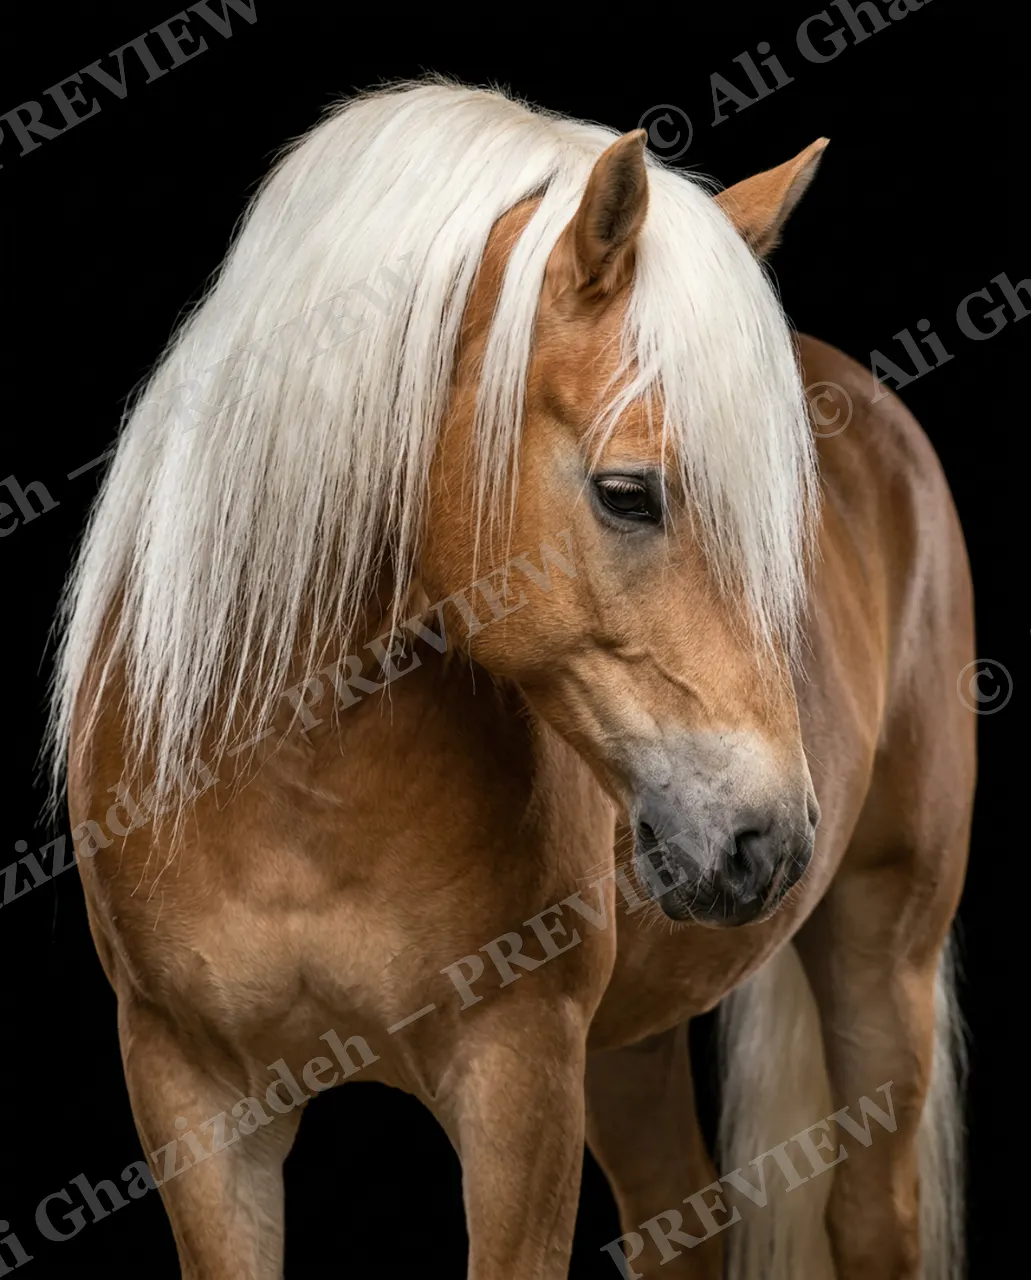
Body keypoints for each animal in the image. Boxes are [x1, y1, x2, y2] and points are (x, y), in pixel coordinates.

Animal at [51, 81, 973, 1279]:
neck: (296, 789)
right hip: (630, 1044)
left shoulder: (518, 1087)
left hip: (880, 952)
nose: (767, 841)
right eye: (626, 492)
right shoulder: (190, 1097)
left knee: (871, 1216)